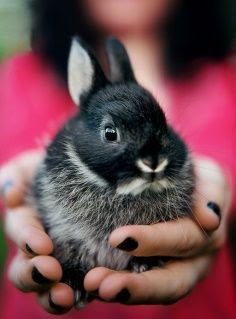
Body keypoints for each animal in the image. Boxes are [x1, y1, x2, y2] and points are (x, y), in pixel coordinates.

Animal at [32, 36, 195, 308]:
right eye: (110, 133)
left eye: (164, 123)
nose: (153, 162)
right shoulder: (64, 231)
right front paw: (76, 284)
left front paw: (145, 264)